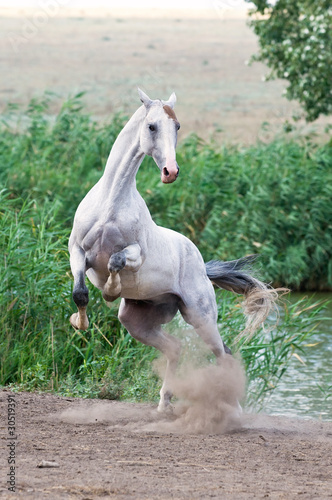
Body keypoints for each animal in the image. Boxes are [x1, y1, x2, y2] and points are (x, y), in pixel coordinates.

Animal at [68, 88, 278, 412]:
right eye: (152, 126)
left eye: (177, 126)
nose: (171, 171)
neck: (110, 205)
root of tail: (202, 266)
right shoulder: (77, 251)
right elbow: (80, 293)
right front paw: (79, 322)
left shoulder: (137, 254)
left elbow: (117, 260)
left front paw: (111, 291)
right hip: (136, 322)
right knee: (176, 348)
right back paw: (164, 402)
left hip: (200, 317)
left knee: (223, 353)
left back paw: (234, 409)